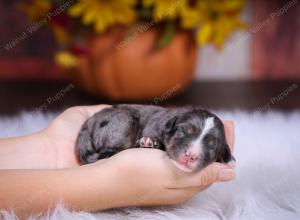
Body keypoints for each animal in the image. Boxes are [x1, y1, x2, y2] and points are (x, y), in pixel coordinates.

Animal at [75, 104, 234, 173]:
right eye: (183, 131)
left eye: (212, 146)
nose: (191, 156)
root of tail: (89, 122)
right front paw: (150, 142)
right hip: (124, 120)